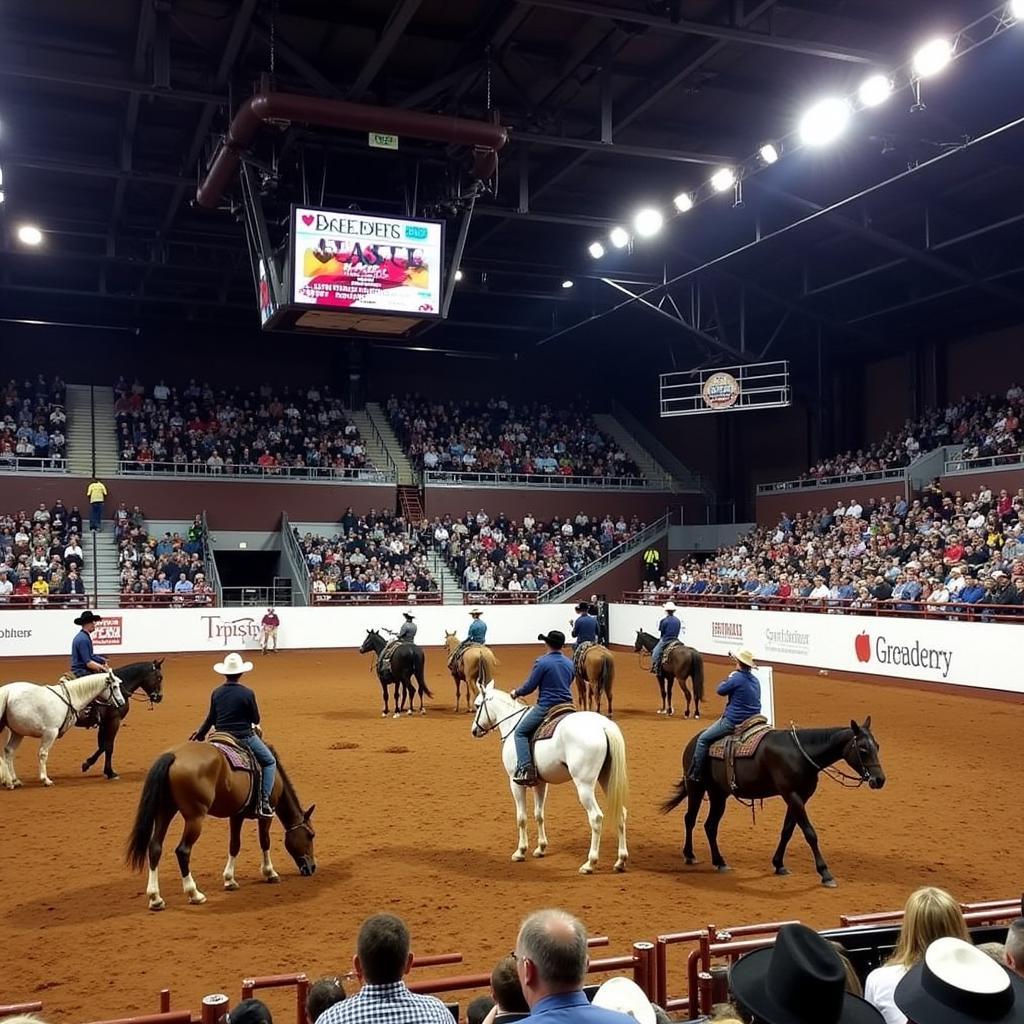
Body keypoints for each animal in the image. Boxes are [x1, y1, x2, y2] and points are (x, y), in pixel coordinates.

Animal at [126, 737, 315, 913]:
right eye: (311, 835)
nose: (312, 867)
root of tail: (173, 756)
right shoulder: (266, 814)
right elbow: (265, 841)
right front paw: (270, 873)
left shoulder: (236, 815)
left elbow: (234, 845)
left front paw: (230, 880)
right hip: (194, 818)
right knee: (183, 851)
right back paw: (194, 894)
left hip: (165, 811)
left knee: (155, 847)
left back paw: (155, 898)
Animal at [468, 679, 626, 872]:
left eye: (477, 705)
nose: (474, 731)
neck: (513, 723)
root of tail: (604, 726)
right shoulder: (540, 783)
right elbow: (539, 814)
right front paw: (541, 848)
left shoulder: (515, 783)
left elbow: (521, 817)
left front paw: (520, 851)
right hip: (607, 780)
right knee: (621, 813)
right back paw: (620, 861)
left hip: (584, 785)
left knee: (596, 818)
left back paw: (590, 863)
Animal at [659, 716, 884, 884]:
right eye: (863, 748)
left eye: (878, 746)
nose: (880, 780)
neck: (799, 754)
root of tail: (695, 740)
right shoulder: (792, 795)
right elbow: (810, 833)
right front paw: (825, 873)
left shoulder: (799, 797)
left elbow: (787, 831)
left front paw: (779, 864)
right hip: (696, 787)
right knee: (690, 819)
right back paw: (690, 855)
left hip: (718, 794)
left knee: (710, 826)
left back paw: (720, 861)